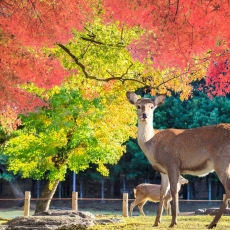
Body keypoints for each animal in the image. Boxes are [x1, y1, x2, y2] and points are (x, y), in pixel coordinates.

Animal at [126, 91, 230, 228]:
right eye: (138, 106)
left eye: (152, 107)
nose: (144, 115)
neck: (153, 145)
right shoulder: (163, 170)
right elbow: (162, 192)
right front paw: (156, 222)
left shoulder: (172, 163)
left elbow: (174, 191)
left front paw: (173, 222)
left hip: (222, 161)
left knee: (228, 188)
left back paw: (212, 223)